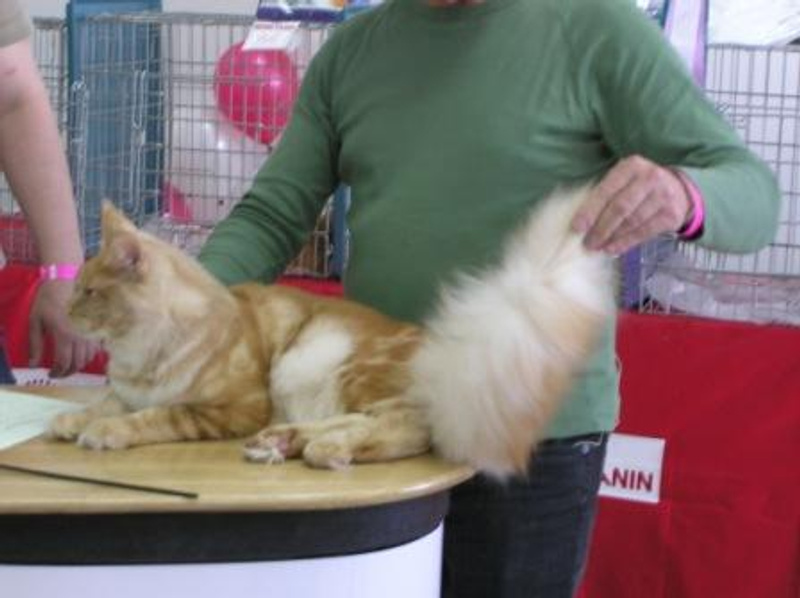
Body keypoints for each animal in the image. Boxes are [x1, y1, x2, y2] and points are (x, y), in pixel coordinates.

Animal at [49, 186, 614, 477]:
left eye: (89, 291)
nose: (67, 309)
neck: (138, 356)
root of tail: (445, 351)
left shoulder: (231, 406)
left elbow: (155, 416)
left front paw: (106, 432)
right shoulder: (127, 389)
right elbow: (106, 402)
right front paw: (72, 419)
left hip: (329, 360)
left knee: (400, 427)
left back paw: (320, 449)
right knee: (354, 422)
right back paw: (281, 443)